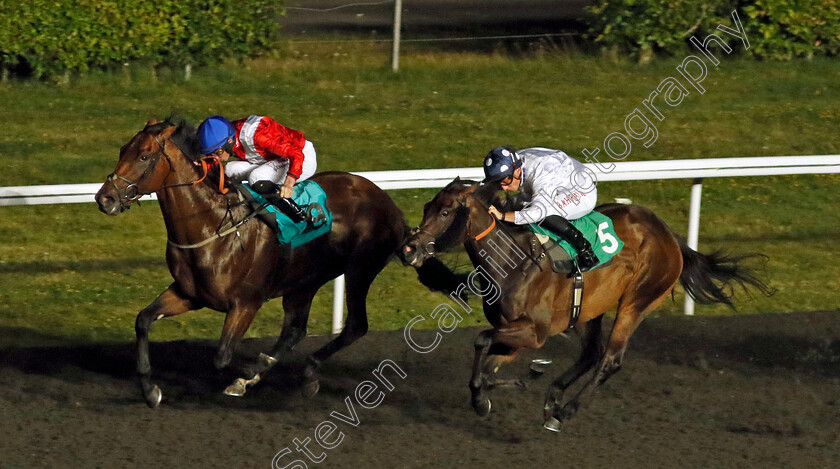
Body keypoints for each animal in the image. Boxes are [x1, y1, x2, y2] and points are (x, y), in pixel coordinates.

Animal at [96, 118, 462, 406]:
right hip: (304, 281)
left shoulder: (246, 303)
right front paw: (151, 390)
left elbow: (223, 357)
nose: (105, 198)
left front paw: (245, 376)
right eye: (122, 149)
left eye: (144, 156)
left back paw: (307, 370)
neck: (214, 227)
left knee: (355, 325)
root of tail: (389, 205)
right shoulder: (189, 294)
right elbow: (143, 321)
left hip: (360, 270)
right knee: (294, 330)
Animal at [402, 177, 776, 430]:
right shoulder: (513, 332)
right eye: (425, 208)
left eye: (446, 211)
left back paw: (565, 411)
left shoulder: (534, 332)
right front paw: (496, 390)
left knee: (610, 360)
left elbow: (481, 340)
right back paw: (553, 397)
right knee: (591, 353)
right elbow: (489, 363)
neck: (512, 261)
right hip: (587, 311)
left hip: (637, 300)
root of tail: (668, 234)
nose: (409, 249)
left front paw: (486, 395)